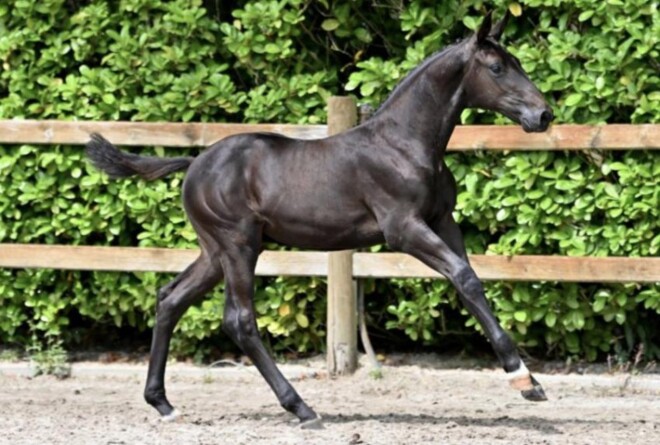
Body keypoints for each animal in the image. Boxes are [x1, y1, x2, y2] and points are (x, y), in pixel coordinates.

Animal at [86, 11, 553, 428]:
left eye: (517, 62)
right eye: (497, 67)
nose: (544, 115)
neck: (404, 144)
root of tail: (195, 163)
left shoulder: (443, 222)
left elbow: (468, 278)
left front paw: (528, 379)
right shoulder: (403, 229)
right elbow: (464, 277)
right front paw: (524, 379)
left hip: (215, 251)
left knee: (171, 298)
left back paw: (163, 404)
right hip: (239, 245)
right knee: (239, 319)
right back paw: (302, 409)